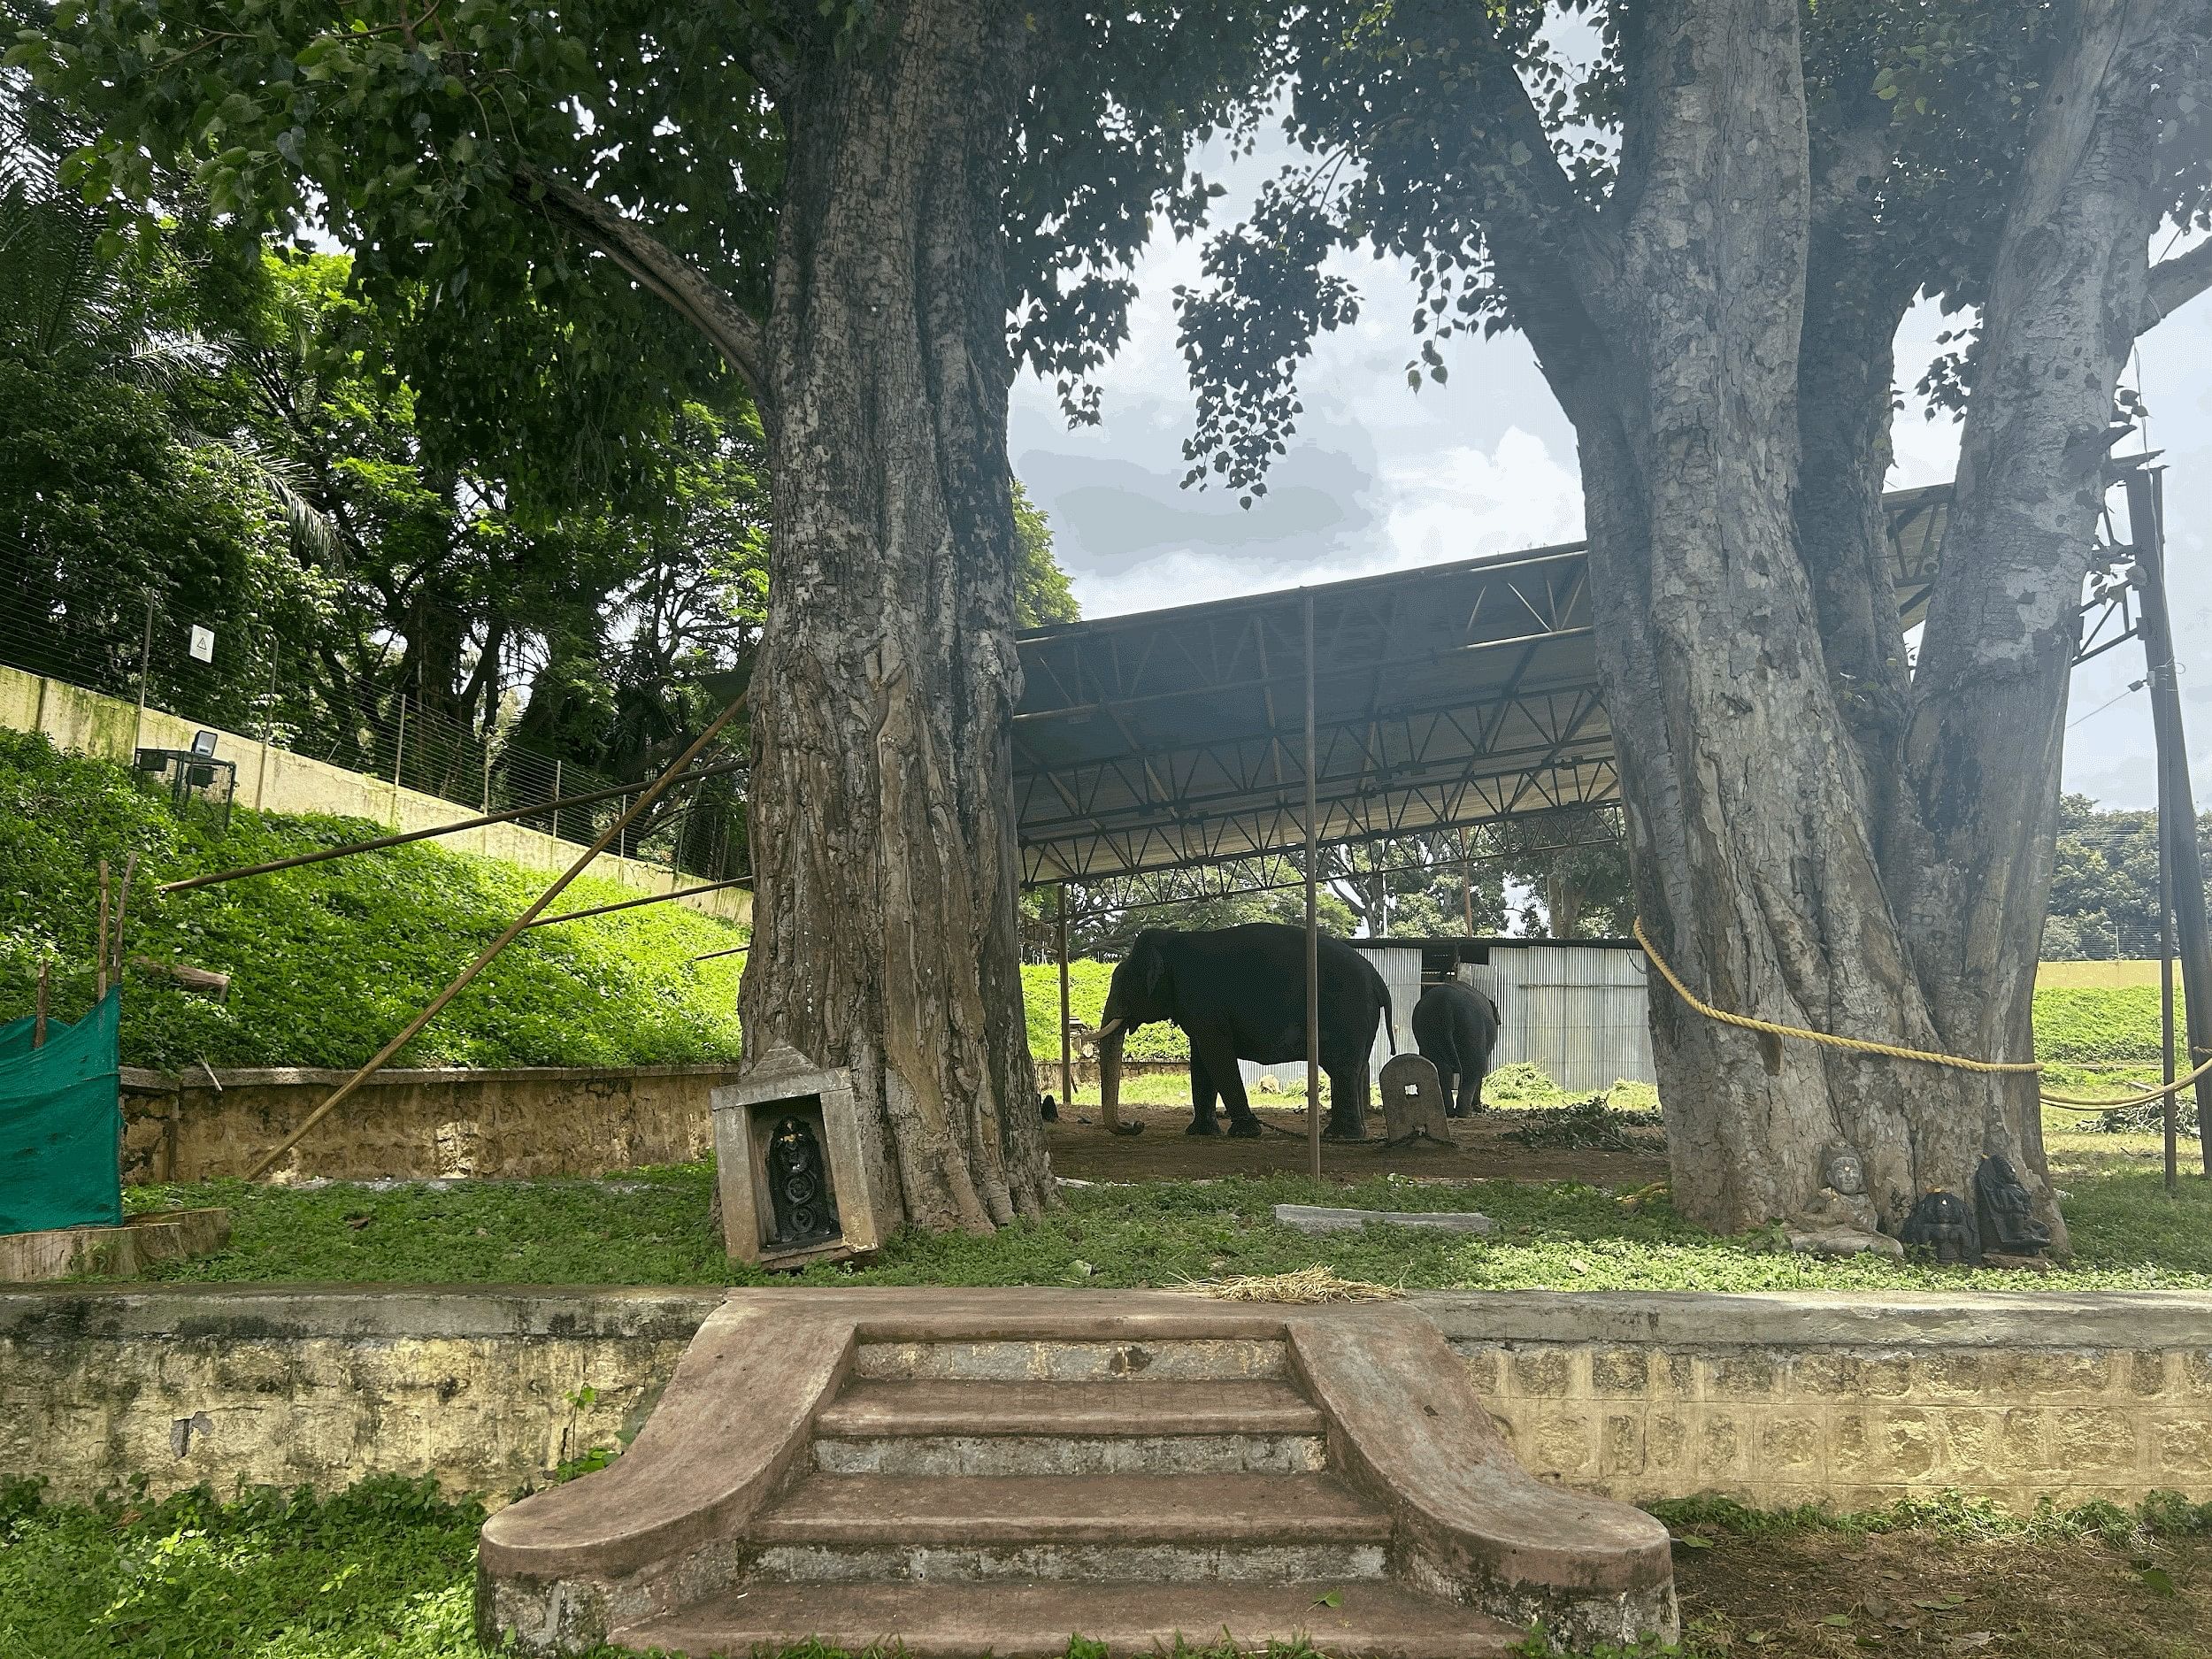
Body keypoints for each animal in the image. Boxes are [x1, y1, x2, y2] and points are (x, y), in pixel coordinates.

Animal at [1093, 925, 1389, 1141]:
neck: (1174, 939)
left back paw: (1339, 1136)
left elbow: (1216, 1056)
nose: (1135, 1123)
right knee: (1354, 1070)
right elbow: (1200, 1060)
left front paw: (1245, 1133)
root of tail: (1378, 980)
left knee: (1342, 1069)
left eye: (1122, 984)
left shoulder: (1203, 1001)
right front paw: (1200, 1133)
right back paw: (1347, 1134)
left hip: (1347, 1014)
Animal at [1416, 982, 1504, 1124]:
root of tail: (1445, 1004)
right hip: (1472, 1028)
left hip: (1428, 1032)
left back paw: (1449, 1112)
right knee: (1473, 1068)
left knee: (1442, 1069)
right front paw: (1479, 1108)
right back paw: (1464, 1113)